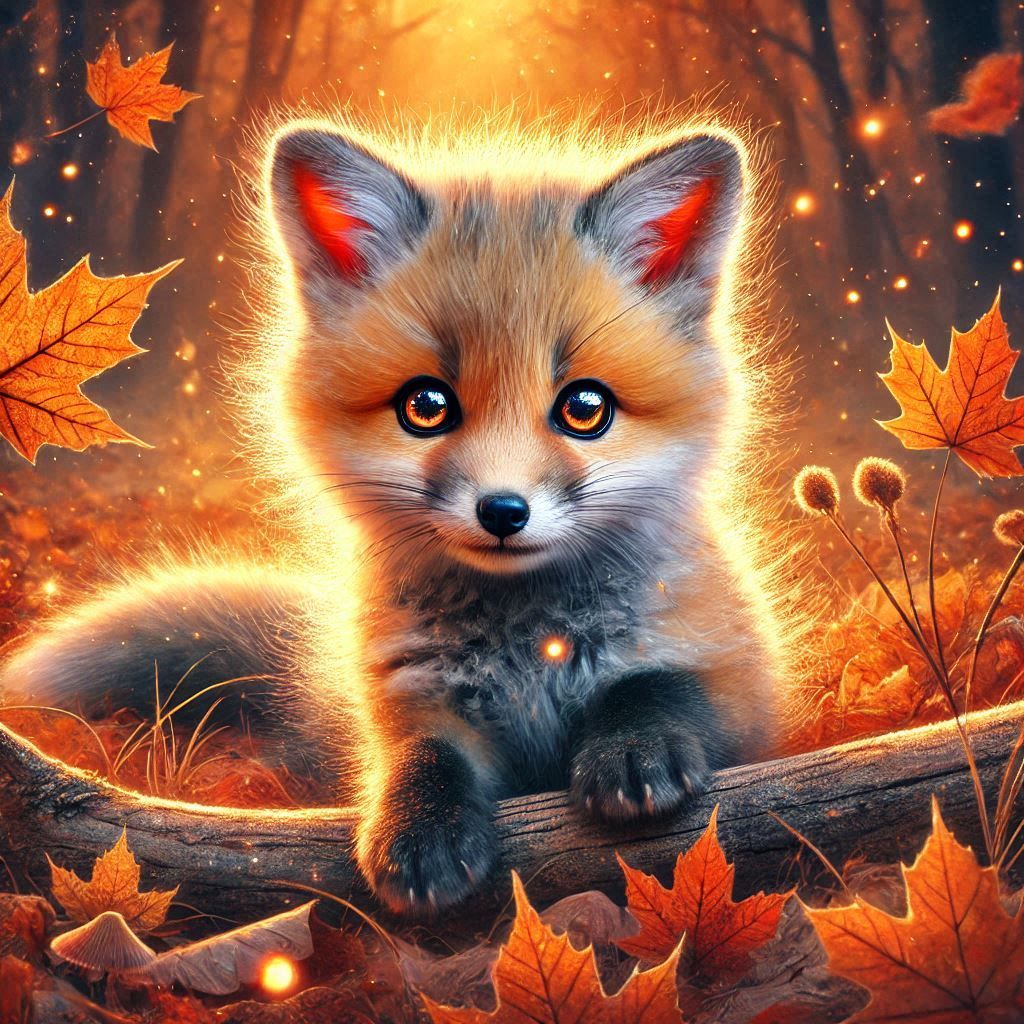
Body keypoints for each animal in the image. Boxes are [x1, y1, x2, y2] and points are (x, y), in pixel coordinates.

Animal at [0, 116, 782, 915]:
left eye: (585, 408)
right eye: (426, 406)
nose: (504, 510)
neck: (528, 652)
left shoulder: (738, 677)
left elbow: (661, 688)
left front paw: (633, 749)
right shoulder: (407, 697)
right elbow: (418, 757)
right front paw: (419, 829)